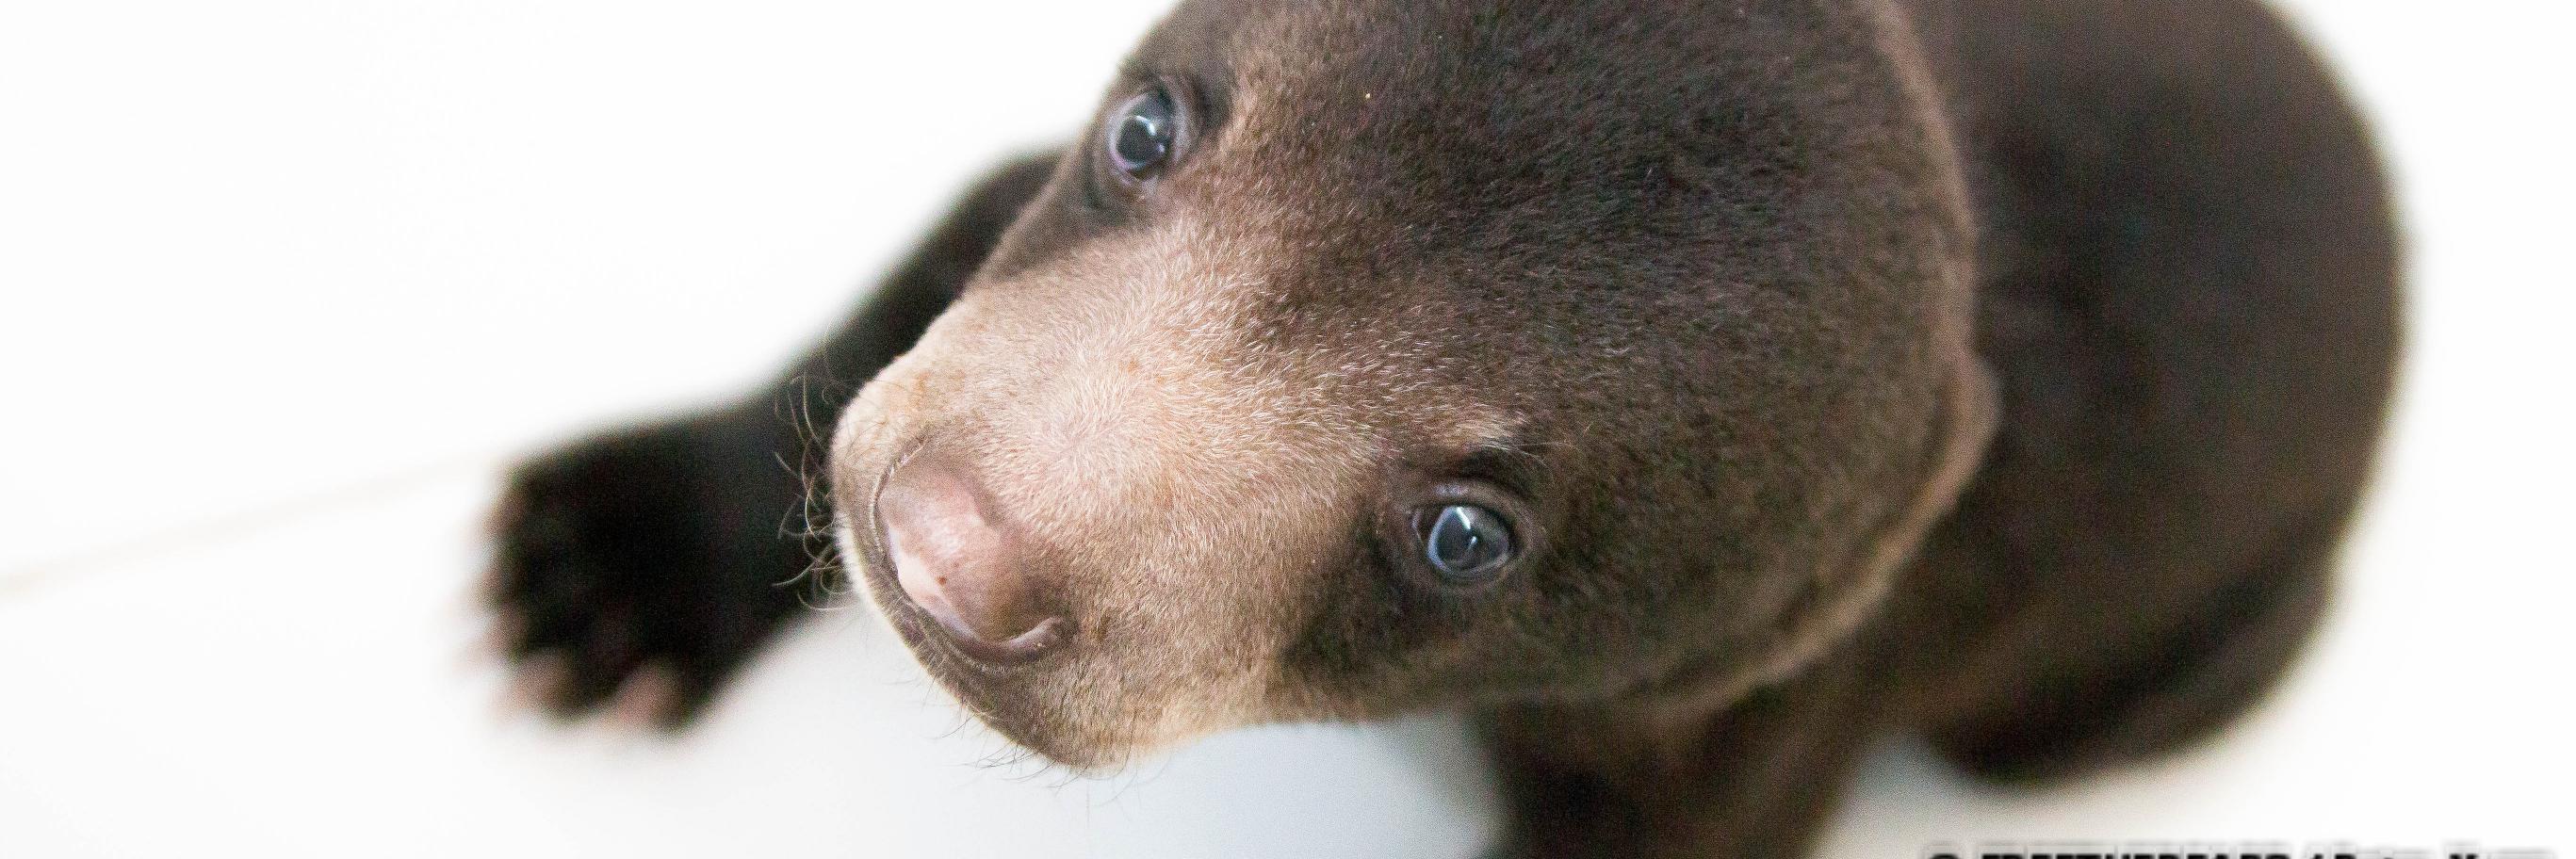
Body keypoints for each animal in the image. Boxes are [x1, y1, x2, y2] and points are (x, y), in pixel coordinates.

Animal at [484, 0, 2399, 856]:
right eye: (1149, 132)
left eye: (1464, 534)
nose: (952, 540)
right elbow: (943, 261)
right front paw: (616, 564)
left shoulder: (1748, 725)